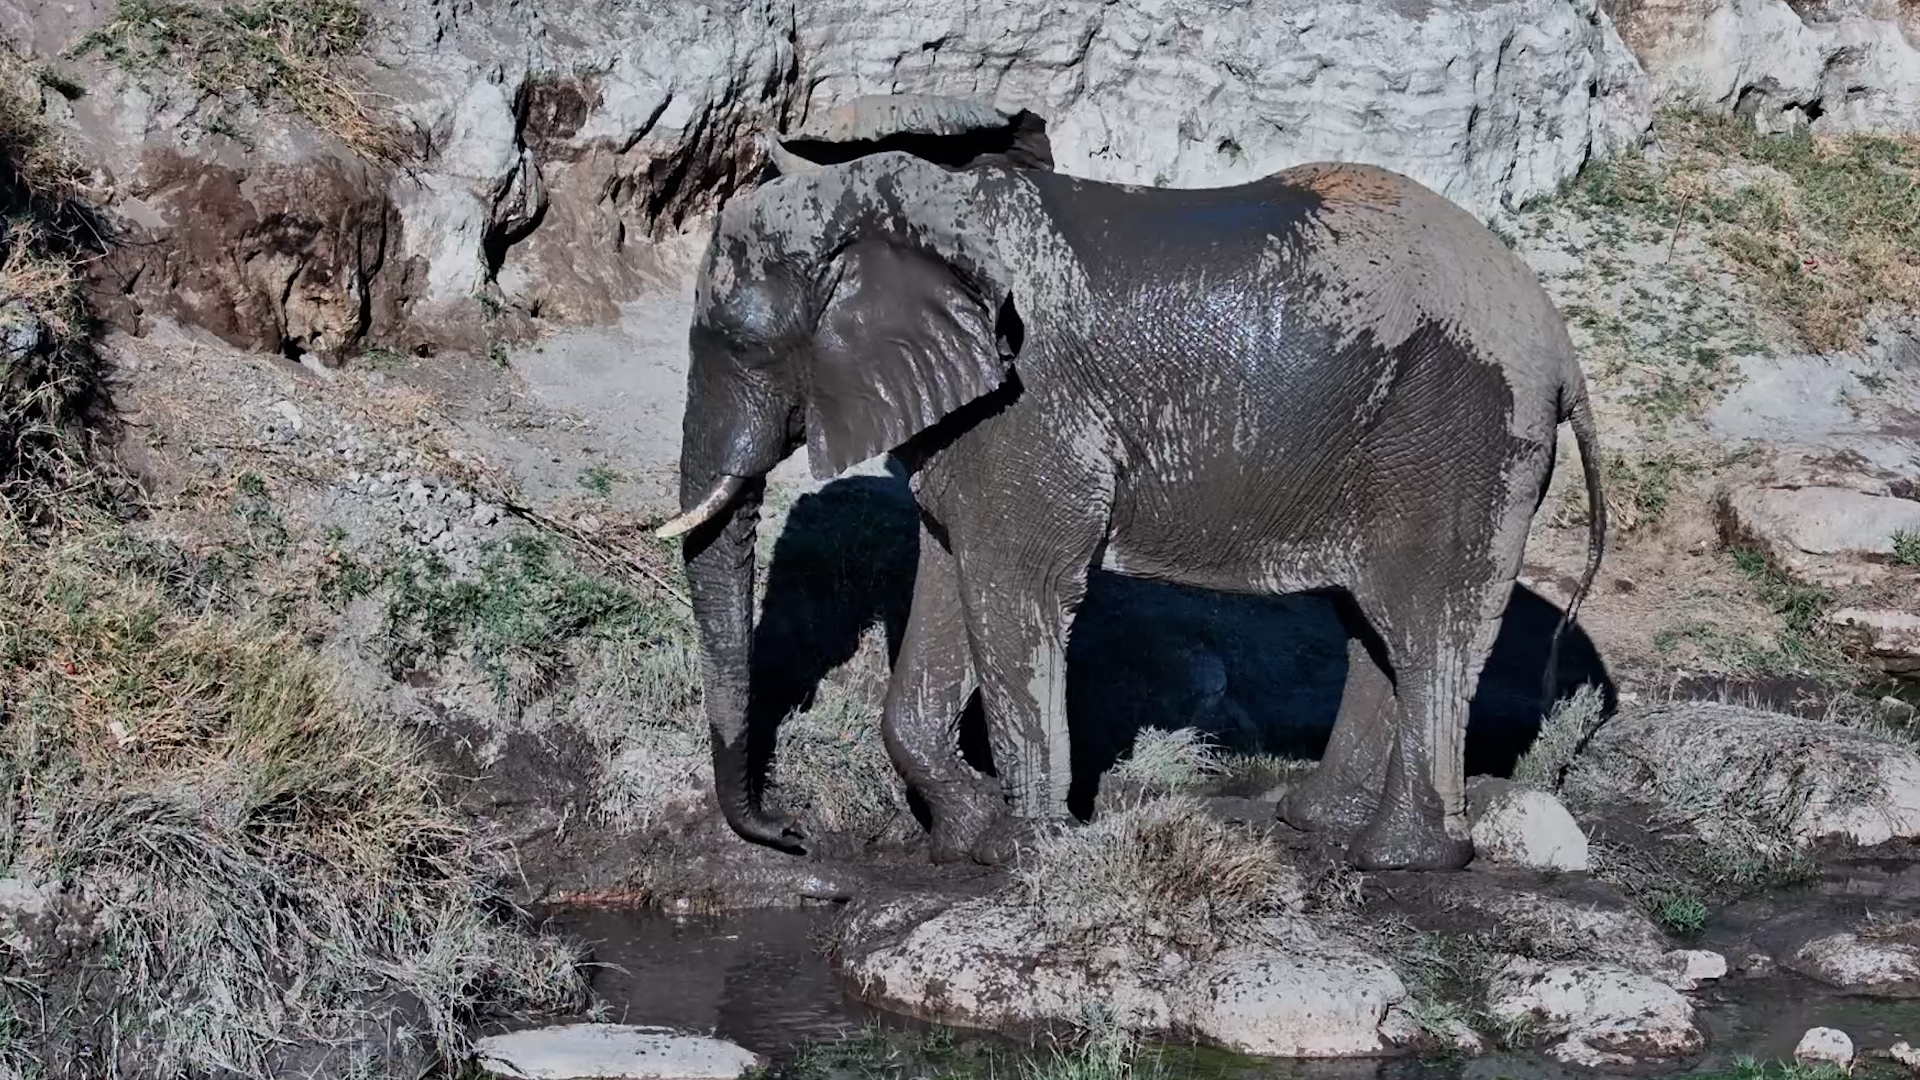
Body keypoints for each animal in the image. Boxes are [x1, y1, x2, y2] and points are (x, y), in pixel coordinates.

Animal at [657, 95, 1607, 871]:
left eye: (744, 344)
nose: (791, 834)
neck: (906, 201)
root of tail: (1563, 350)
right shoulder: (975, 421)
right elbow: (948, 573)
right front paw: (966, 835)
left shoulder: (1031, 404)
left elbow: (1017, 585)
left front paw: (1017, 854)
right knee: (1372, 629)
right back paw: (1316, 823)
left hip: (1461, 431)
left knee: (1423, 629)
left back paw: (1399, 859)